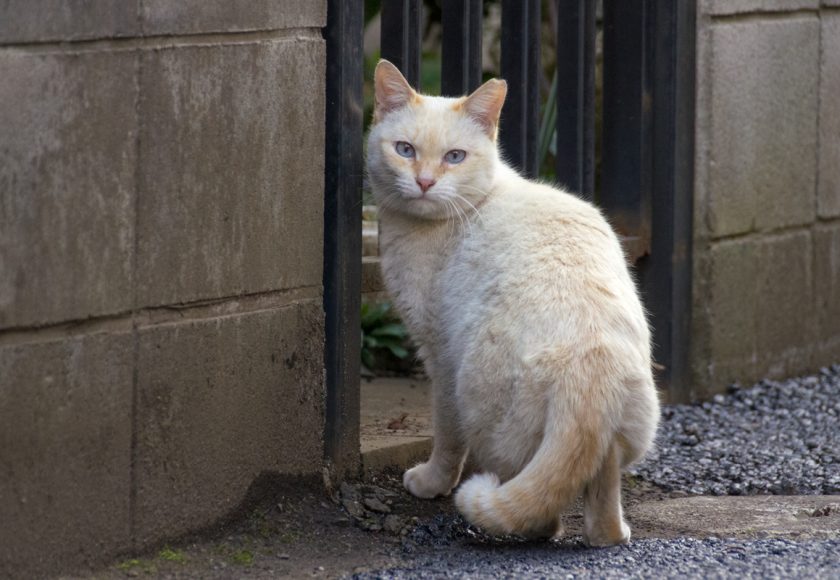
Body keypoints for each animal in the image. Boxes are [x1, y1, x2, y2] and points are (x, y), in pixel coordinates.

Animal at [368, 61, 664, 548]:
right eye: (404, 150)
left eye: (455, 157)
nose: (425, 182)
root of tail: (589, 369)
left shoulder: (438, 357)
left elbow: (446, 439)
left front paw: (429, 483)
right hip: (621, 440)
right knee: (596, 507)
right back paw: (614, 532)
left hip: (480, 405)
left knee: (535, 511)